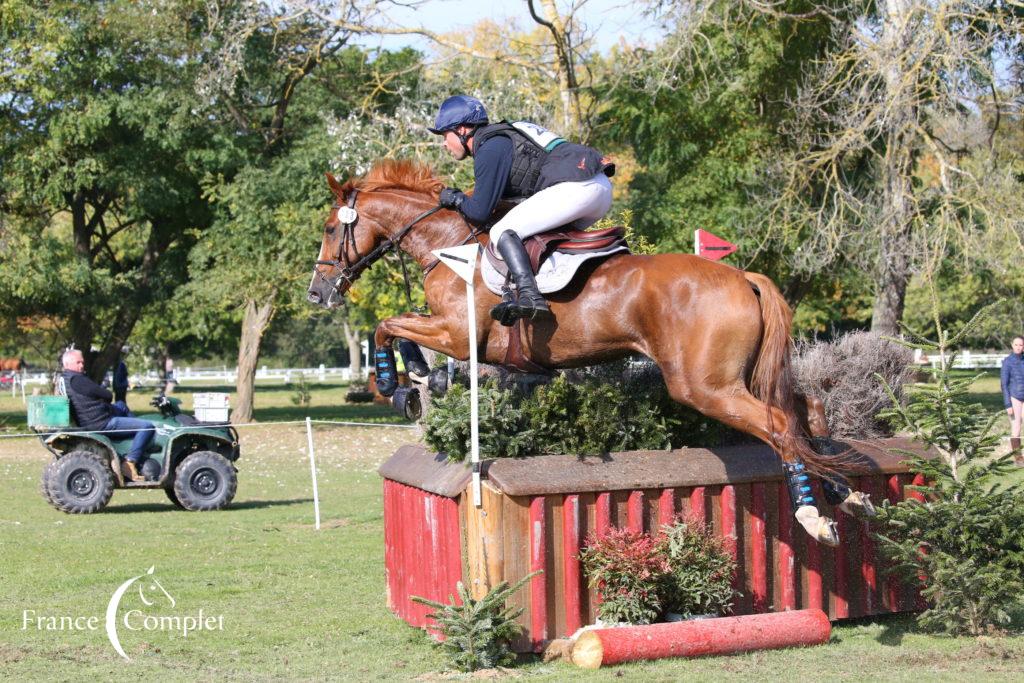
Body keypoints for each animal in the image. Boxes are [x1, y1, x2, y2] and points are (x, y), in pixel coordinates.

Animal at [303, 158, 872, 544]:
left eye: (331, 229)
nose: (317, 293)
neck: (448, 243)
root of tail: (744, 277)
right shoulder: (450, 334)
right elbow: (395, 328)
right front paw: (423, 382)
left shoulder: (458, 335)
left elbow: (386, 326)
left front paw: (397, 385)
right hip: (742, 377)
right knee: (804, 410)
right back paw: (846, 492)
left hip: (705, 386)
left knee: (778, 425)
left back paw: (813, 516)